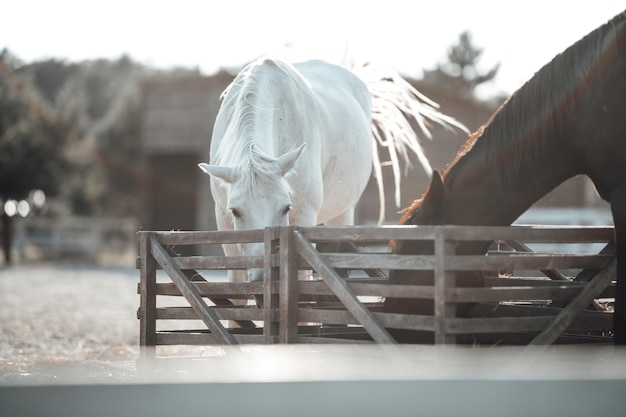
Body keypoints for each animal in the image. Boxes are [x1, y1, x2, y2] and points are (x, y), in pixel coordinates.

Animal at [200, 57, 464, 282]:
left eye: (286, 208)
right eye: (236, 211)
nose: (264, 277)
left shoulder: (303, 220)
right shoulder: (225, 226)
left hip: (343, 214)